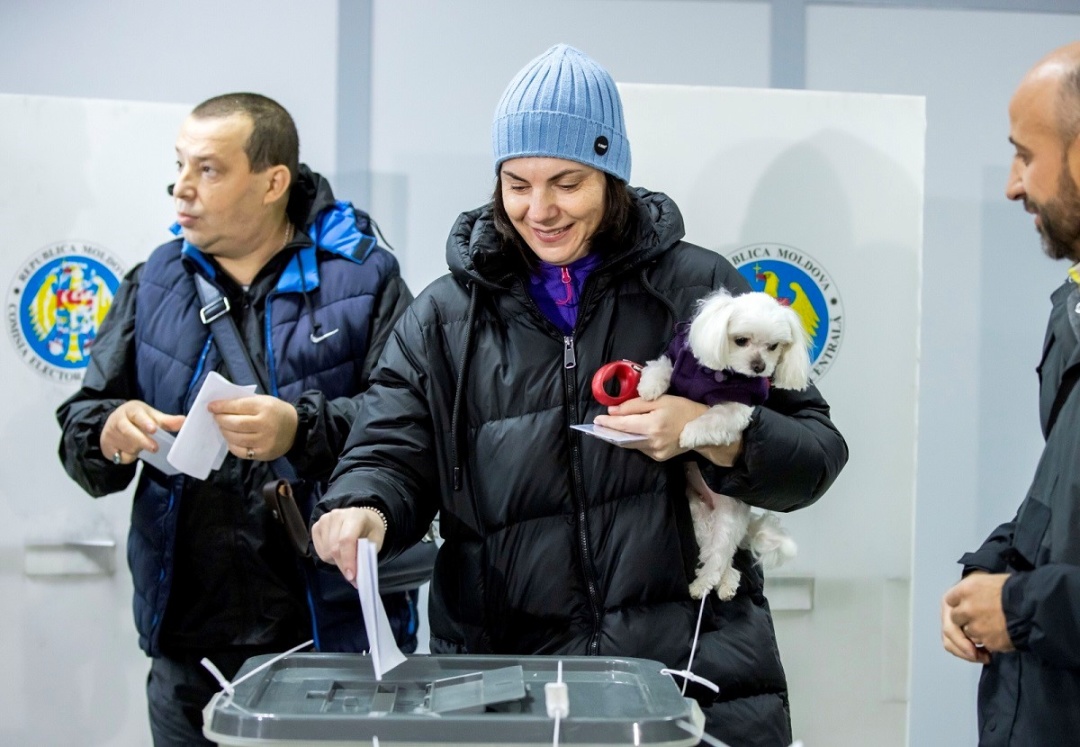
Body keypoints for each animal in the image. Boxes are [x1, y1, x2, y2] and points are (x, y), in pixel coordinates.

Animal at [635, 289, 807, 600]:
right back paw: (725, 582)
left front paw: (689, 433)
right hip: (699, 517)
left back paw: (705, 586)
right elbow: (661, 367)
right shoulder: (676, 359)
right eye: (741, 340)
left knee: (719, 558)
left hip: (728, 519)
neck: (720, 373)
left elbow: (713, 418)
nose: (759, 367)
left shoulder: (737, 407)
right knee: (723, 559)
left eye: (773, 346)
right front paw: (650, 387)